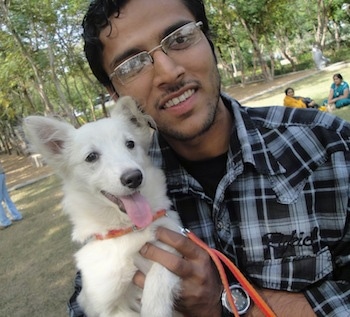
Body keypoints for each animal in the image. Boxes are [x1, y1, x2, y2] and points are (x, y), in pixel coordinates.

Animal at [23, 97, 183, 316]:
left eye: (130, 144)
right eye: (91, 156)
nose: (134, 177)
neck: (129, 229)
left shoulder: (172, 245)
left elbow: (160, 273)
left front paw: (154, 306)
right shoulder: (105, 305)